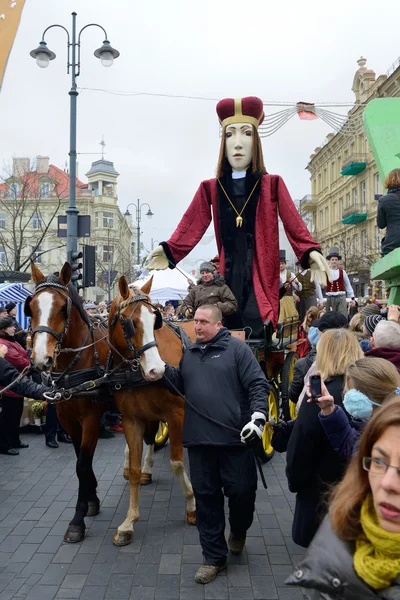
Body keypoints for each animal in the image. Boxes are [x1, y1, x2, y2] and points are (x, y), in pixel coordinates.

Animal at [109, 274, 197, 548]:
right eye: (130, 323)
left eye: (155, 319)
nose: (157, 370)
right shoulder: (132, 419)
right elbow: (135, 469)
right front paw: (129, 522)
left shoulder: (177, 414)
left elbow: (177, 463)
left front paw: (192, 504)